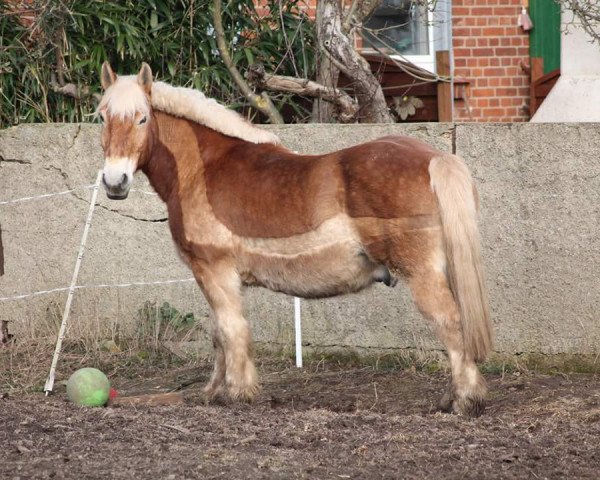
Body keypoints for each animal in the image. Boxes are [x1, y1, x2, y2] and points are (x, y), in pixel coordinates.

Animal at [98, 62, 492, 416]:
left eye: (142, 119)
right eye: (102, 117)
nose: (115, 181)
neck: (203, 169)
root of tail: (435, 158)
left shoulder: (215, 271)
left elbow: (230, 330)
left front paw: (238, 393)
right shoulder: (212, 277)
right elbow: (218, 334)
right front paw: (214, 392)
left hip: (421, 274)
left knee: (450, 324)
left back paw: (464, 402)